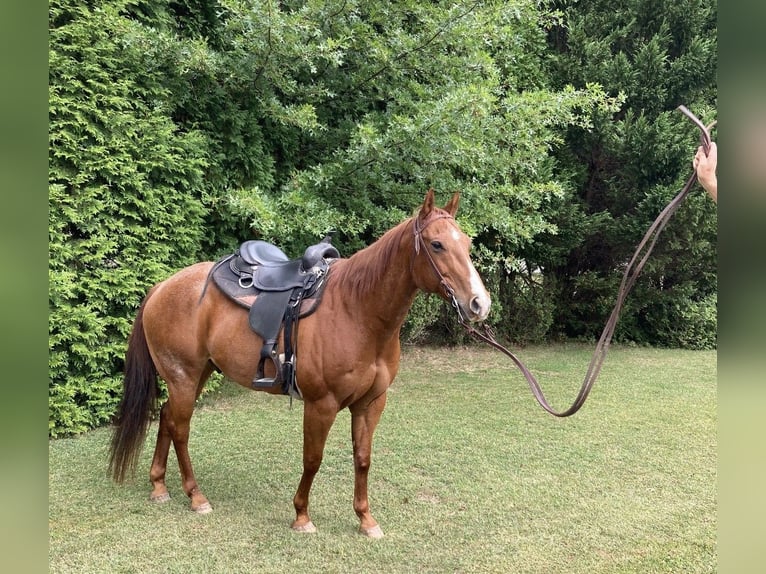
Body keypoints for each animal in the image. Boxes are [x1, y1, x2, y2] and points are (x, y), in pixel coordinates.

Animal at [108, 189, 491, 538]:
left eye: (467, 243)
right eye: (437, 245)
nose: (479, 303)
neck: (358, 310)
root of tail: (162, 286)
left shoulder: (371, 403)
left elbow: (363, 458)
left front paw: (366, 519)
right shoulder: (321, 404)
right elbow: (313, 458)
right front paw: (302, 516)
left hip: (195, 374)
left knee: (167, 418)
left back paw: (159, 485)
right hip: (184, 376)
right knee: (181, 428)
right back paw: (196, 496)